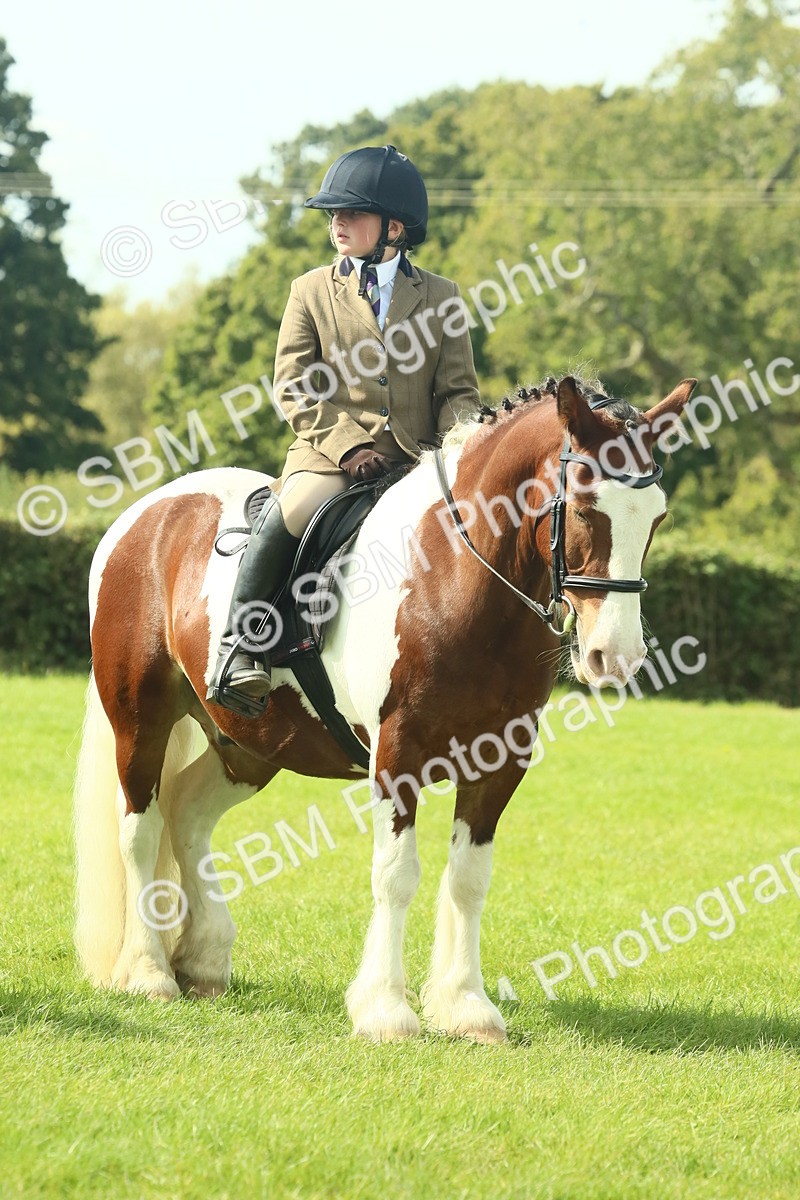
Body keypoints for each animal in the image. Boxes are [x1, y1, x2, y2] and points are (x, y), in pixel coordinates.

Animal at [73, 374, 694, 1042]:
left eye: (656, 517)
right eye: (582, 508)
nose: (616, 656)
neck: (456, 574)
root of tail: (145, 513)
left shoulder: (501, 761)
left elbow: (469, 878)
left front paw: (465, 1005)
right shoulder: (398, 754)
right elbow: (396, 875)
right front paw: (386, 1010)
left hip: (251, 743)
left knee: (187, 812)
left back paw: (204, 959)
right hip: (140, 720)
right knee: (140, 829)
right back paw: (148, 972)